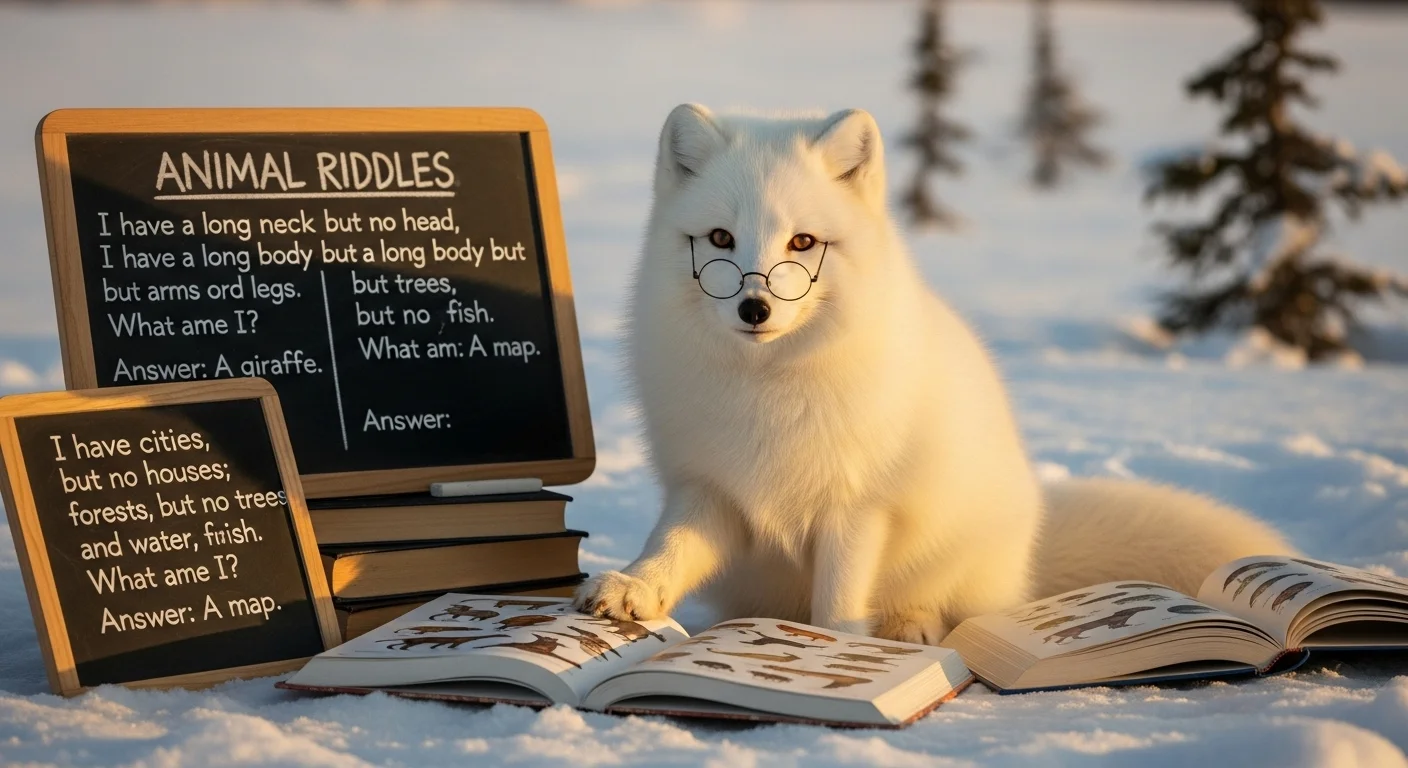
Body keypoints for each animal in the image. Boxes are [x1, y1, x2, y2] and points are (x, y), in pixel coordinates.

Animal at [573, 104, 1293, 644]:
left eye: (802, 243)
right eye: (720, 239)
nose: (756, 308)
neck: (768, 388)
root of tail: (1029, 551)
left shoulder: (859, 504)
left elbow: (840, 598)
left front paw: (840, 647)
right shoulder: (712, 490)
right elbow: (671, 546)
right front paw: (633, 588)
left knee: (941, 606)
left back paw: (909, 626)